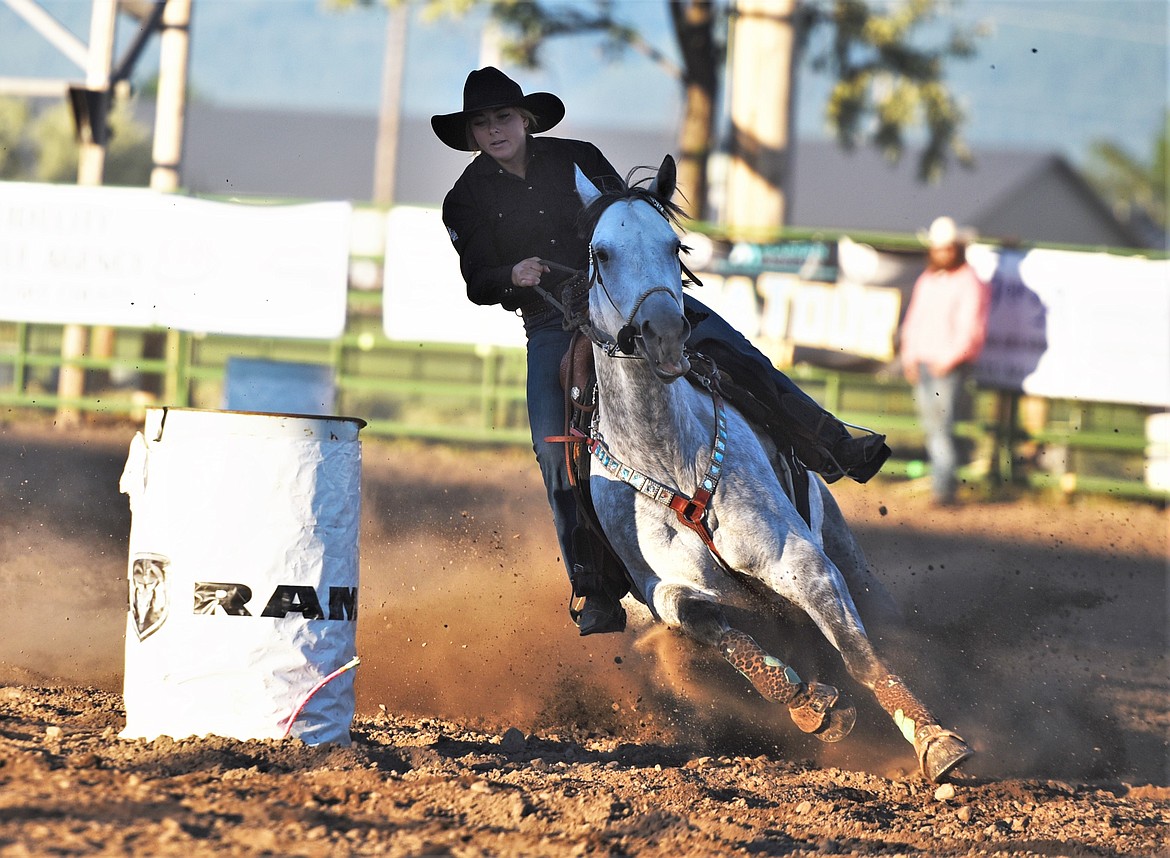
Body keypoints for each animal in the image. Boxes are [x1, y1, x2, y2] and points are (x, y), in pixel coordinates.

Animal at [570, 154, 973, 781]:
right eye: (601, 252)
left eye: (673, 245)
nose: (665, 333)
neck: (670, 461)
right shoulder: (667, 592)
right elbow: (718, 630)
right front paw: (809, 703)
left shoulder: (803, 562)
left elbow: (861, 656)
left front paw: (935, 740)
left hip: (849, 555)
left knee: (883, 623)